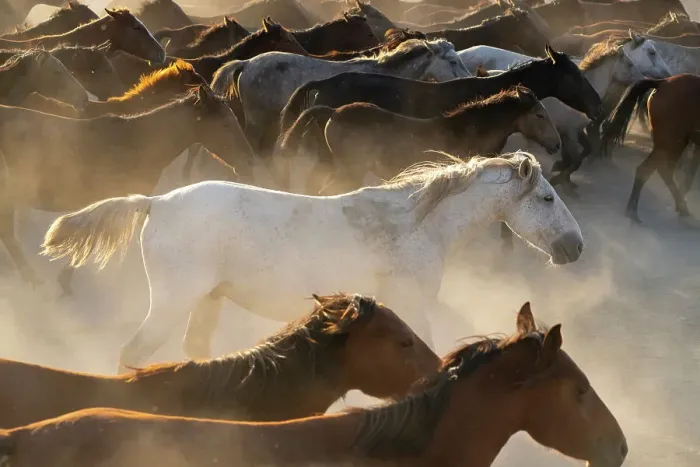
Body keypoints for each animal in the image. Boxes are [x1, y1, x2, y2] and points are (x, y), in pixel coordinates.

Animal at [42, 152, 583, 368]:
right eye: (548, 198)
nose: (575, 247)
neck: (415, 224)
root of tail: (156, 203)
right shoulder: (411, 305)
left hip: (208, 301)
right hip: (173, 300)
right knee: (133, 354)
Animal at [601, 74, 700, 223]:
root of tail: (663, 82)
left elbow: (689, 176)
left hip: (673, 144)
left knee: (663, 170)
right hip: (670, 143)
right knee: (650, 169)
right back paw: (633, 211)